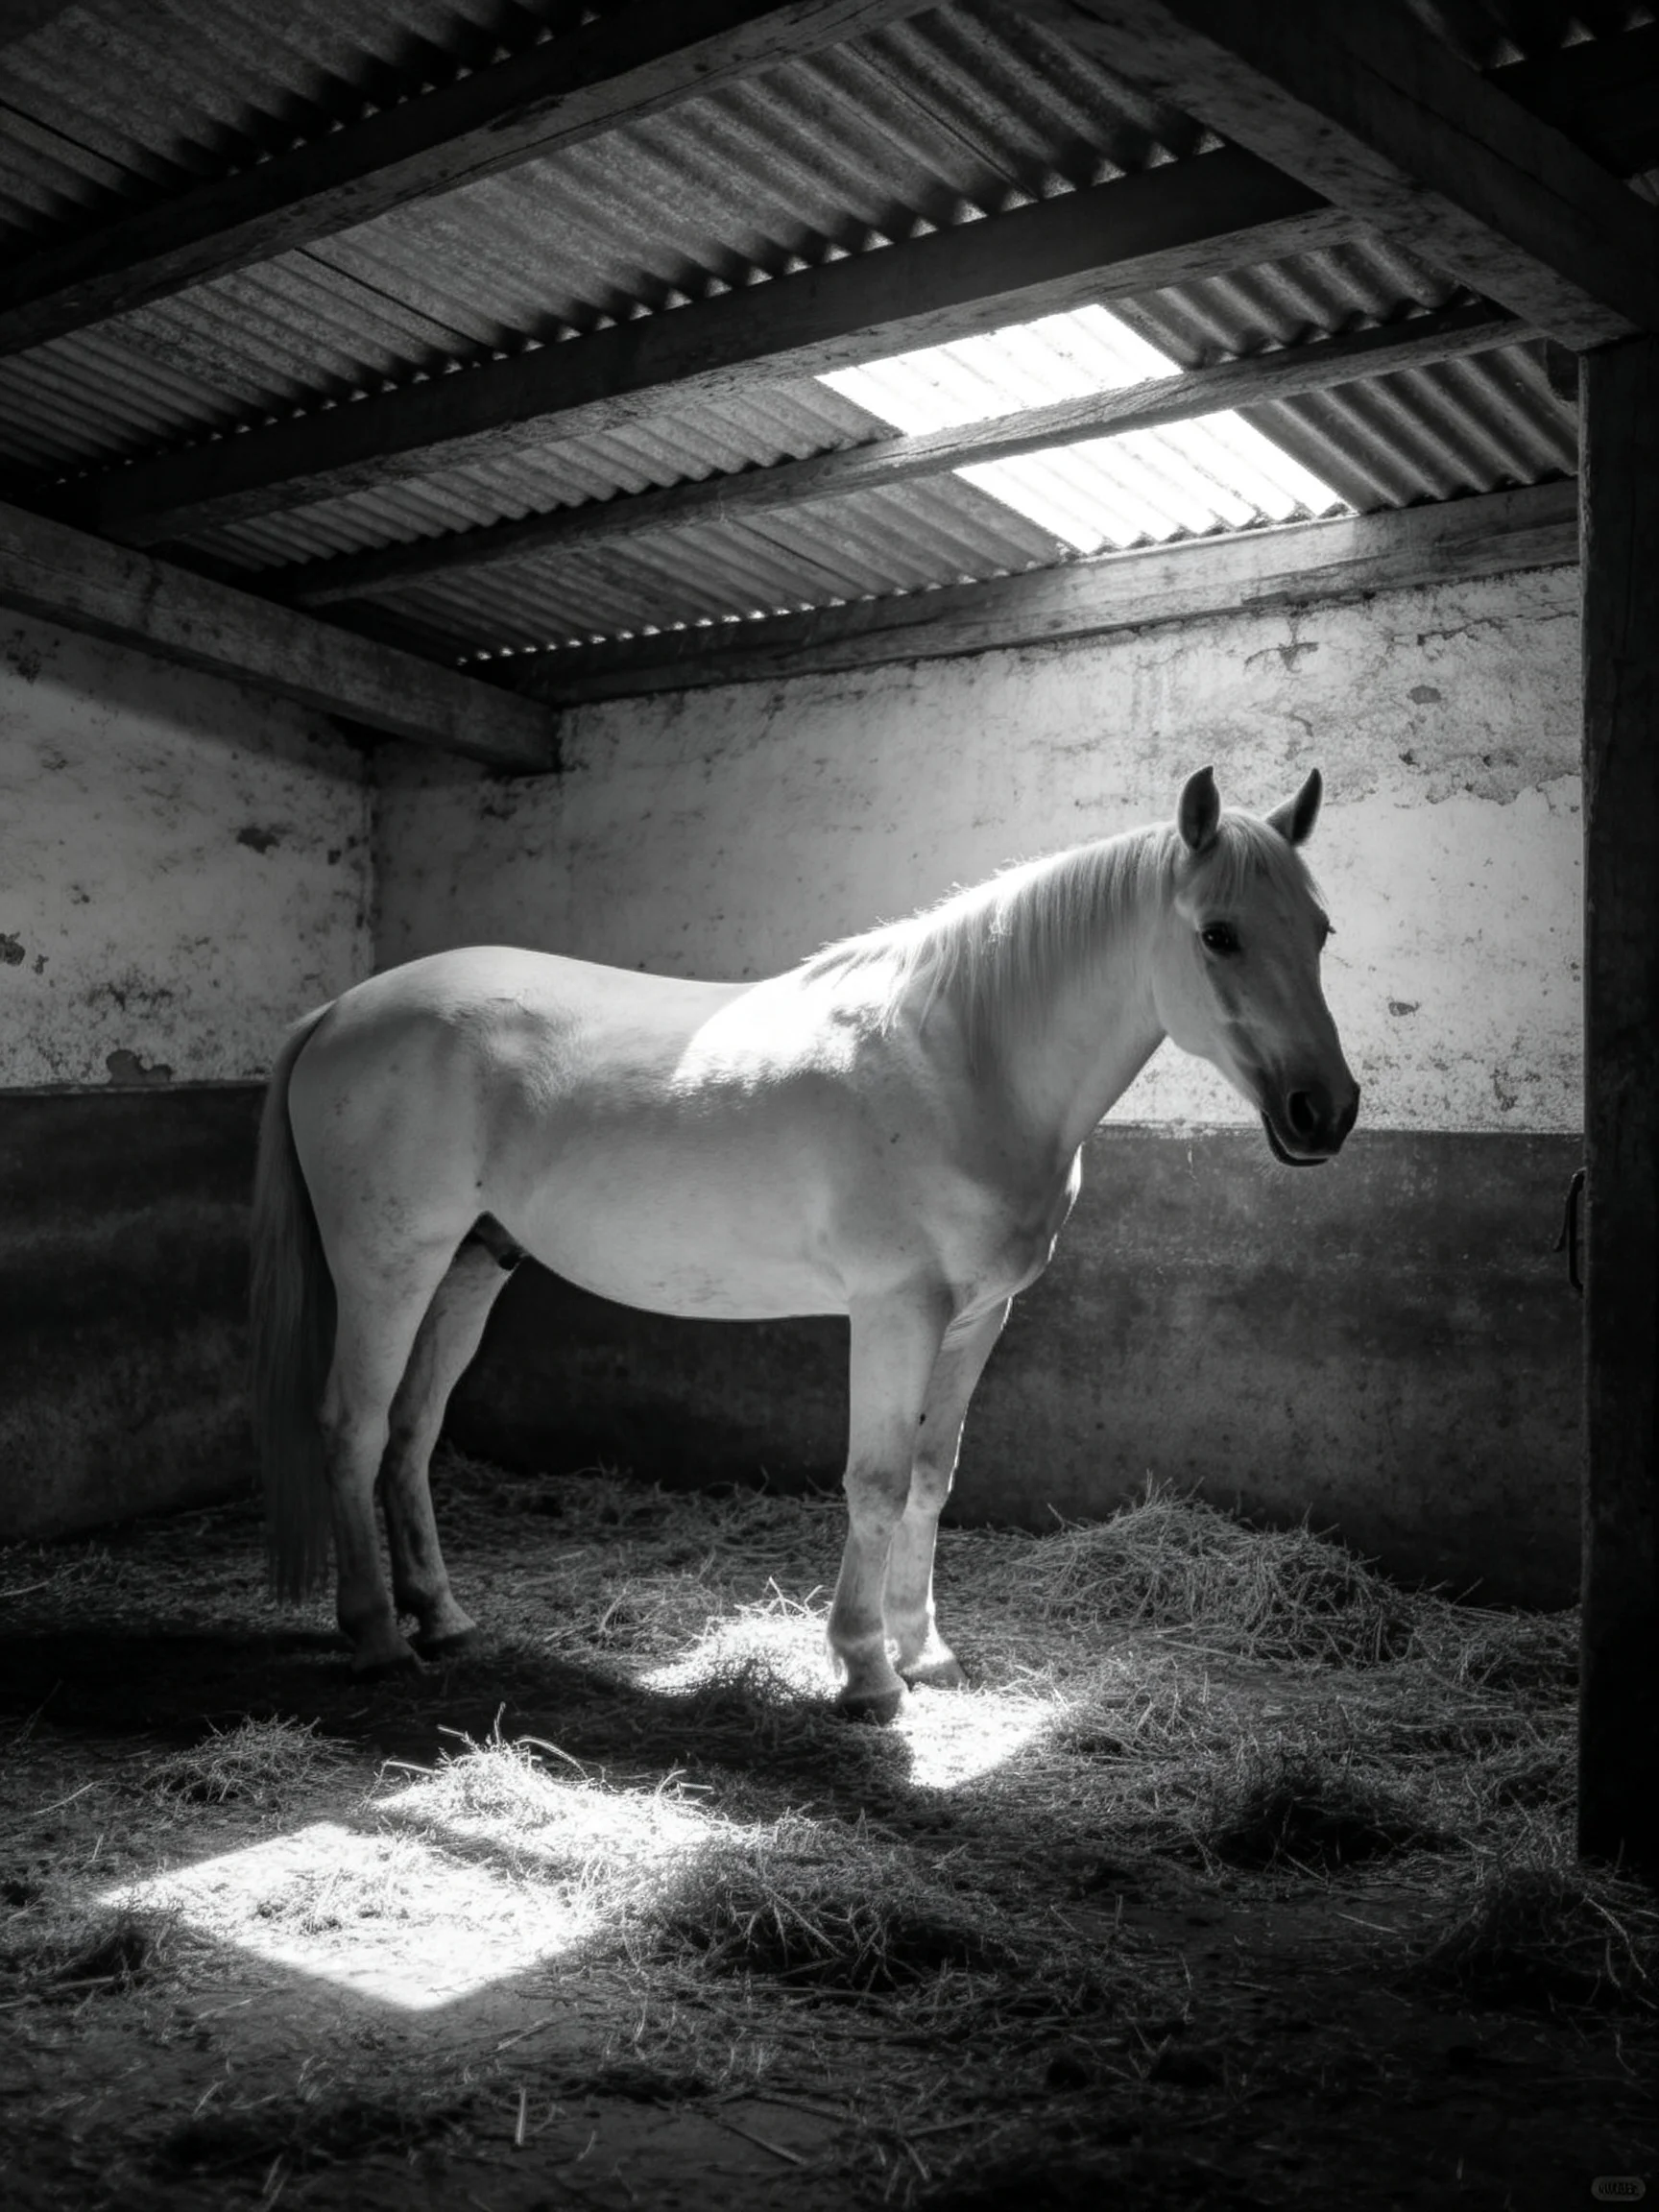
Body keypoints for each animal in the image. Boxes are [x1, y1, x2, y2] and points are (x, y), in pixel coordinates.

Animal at [251, 764, 1358, 1717]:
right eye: (1219, 934)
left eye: (1320, 931)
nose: (1326, 1113)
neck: (964, 1060)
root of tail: (341, 1008)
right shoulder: (896, 1312)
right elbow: (875, 1482)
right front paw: (867, 1674)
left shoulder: (978, 1320)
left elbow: (930, 1481)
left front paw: (926, 1652)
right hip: (389, 1266)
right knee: (353, 1425)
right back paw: (376, 1640)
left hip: (471, 1265)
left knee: (410, 1432)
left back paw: (441, 1619)